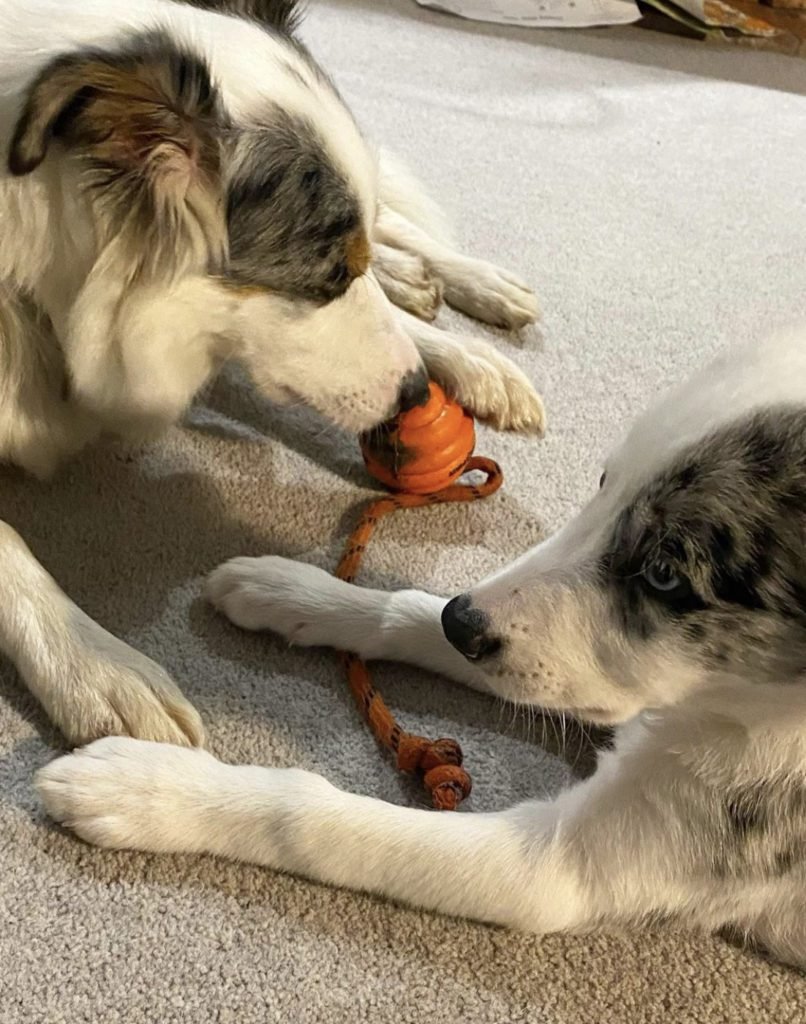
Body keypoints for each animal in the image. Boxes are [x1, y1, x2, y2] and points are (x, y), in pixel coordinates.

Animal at [1, 0, 540, 753]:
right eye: (329, 275)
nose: (412, 396)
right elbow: (9, 547)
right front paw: (97, 666)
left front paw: (457, 349)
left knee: (396, 216)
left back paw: (469, 301)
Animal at [39, 325, 806, 966]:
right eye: (600, 482)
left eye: (666, 574)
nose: (465, 625)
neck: (736, 710)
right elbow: (415, 609)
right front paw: (300, 592)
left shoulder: (554, 866)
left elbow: (315, 816)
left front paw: (149, 788)